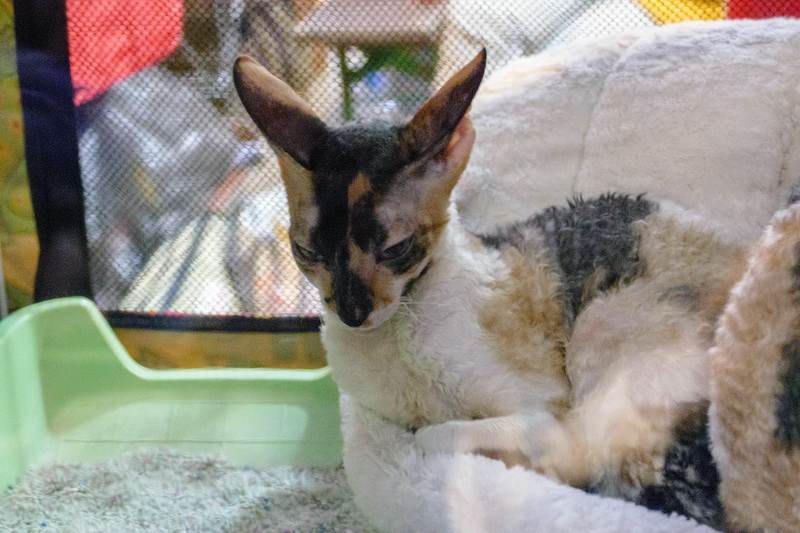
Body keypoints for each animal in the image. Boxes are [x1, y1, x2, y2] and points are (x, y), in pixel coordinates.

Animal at [233, 49, 747, 527]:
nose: (352, 312)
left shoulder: (541, 406)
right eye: (305, 252)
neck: (398, 332)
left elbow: (436, 436)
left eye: (397, 249)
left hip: (602, 327)